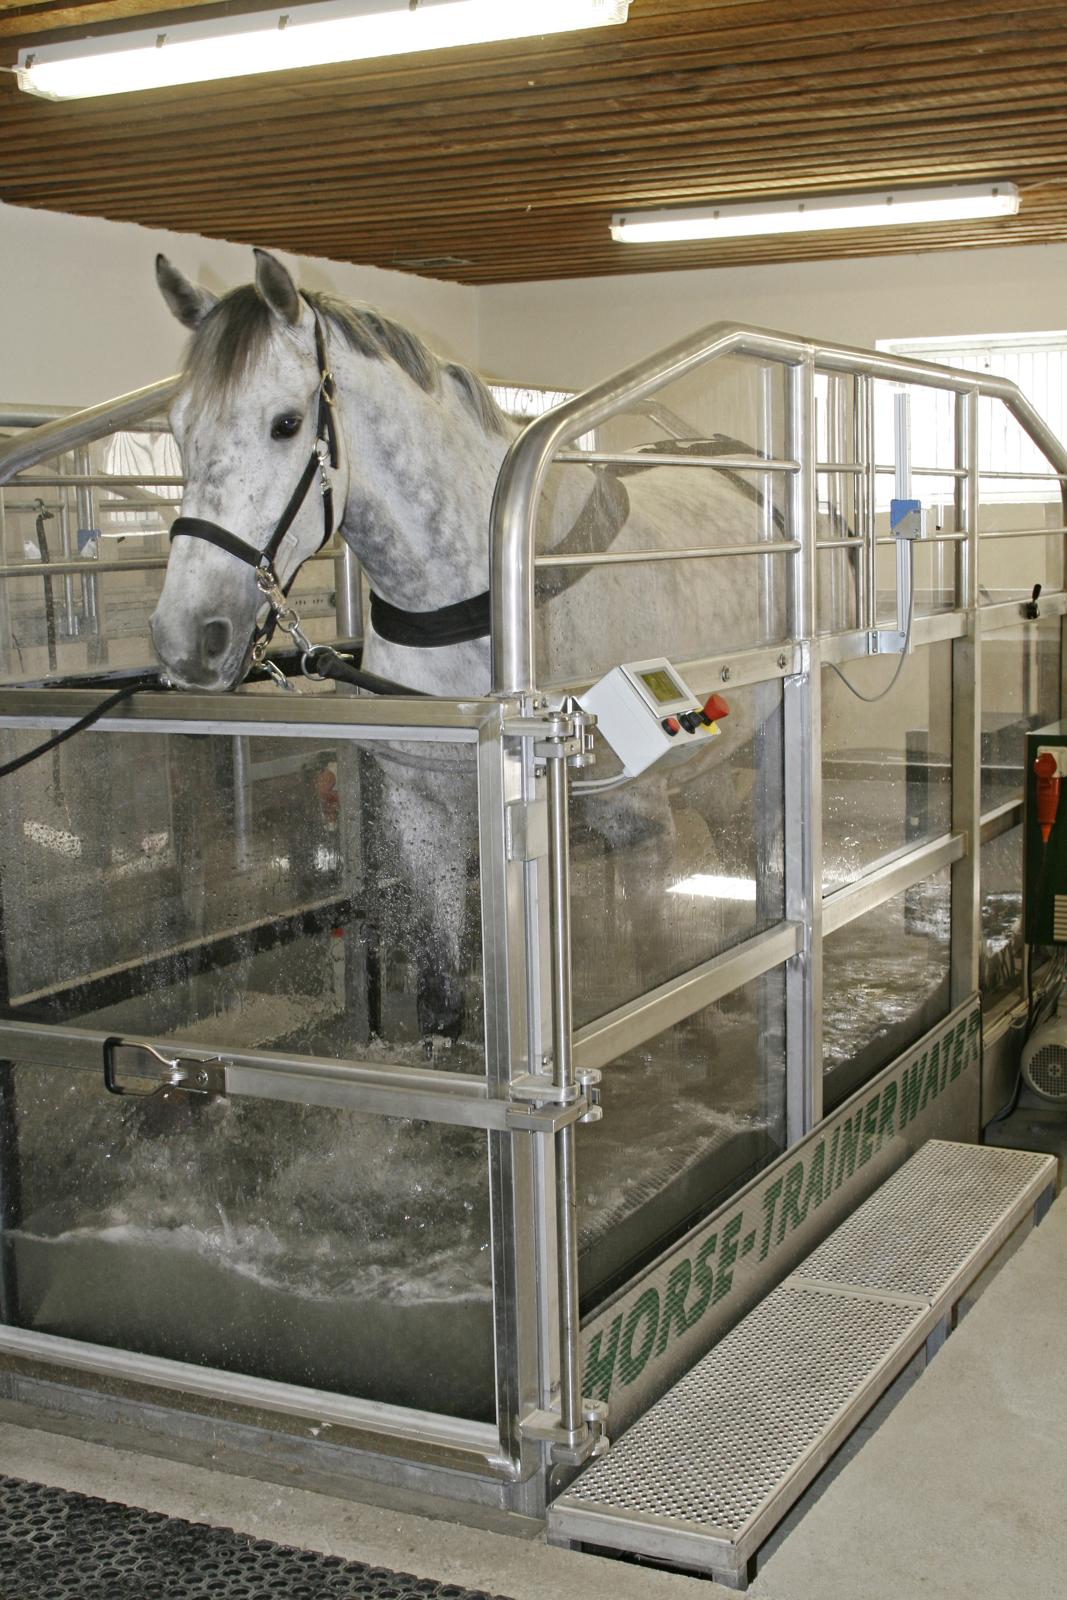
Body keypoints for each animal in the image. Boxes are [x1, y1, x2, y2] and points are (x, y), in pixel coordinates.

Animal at [151, 249, 778, 1044]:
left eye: (285, 424)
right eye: (178, 428)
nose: (185, 639)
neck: (475, 603)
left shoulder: (636, 820)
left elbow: (654, 972)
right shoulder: (424, 815)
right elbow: (440, 999)